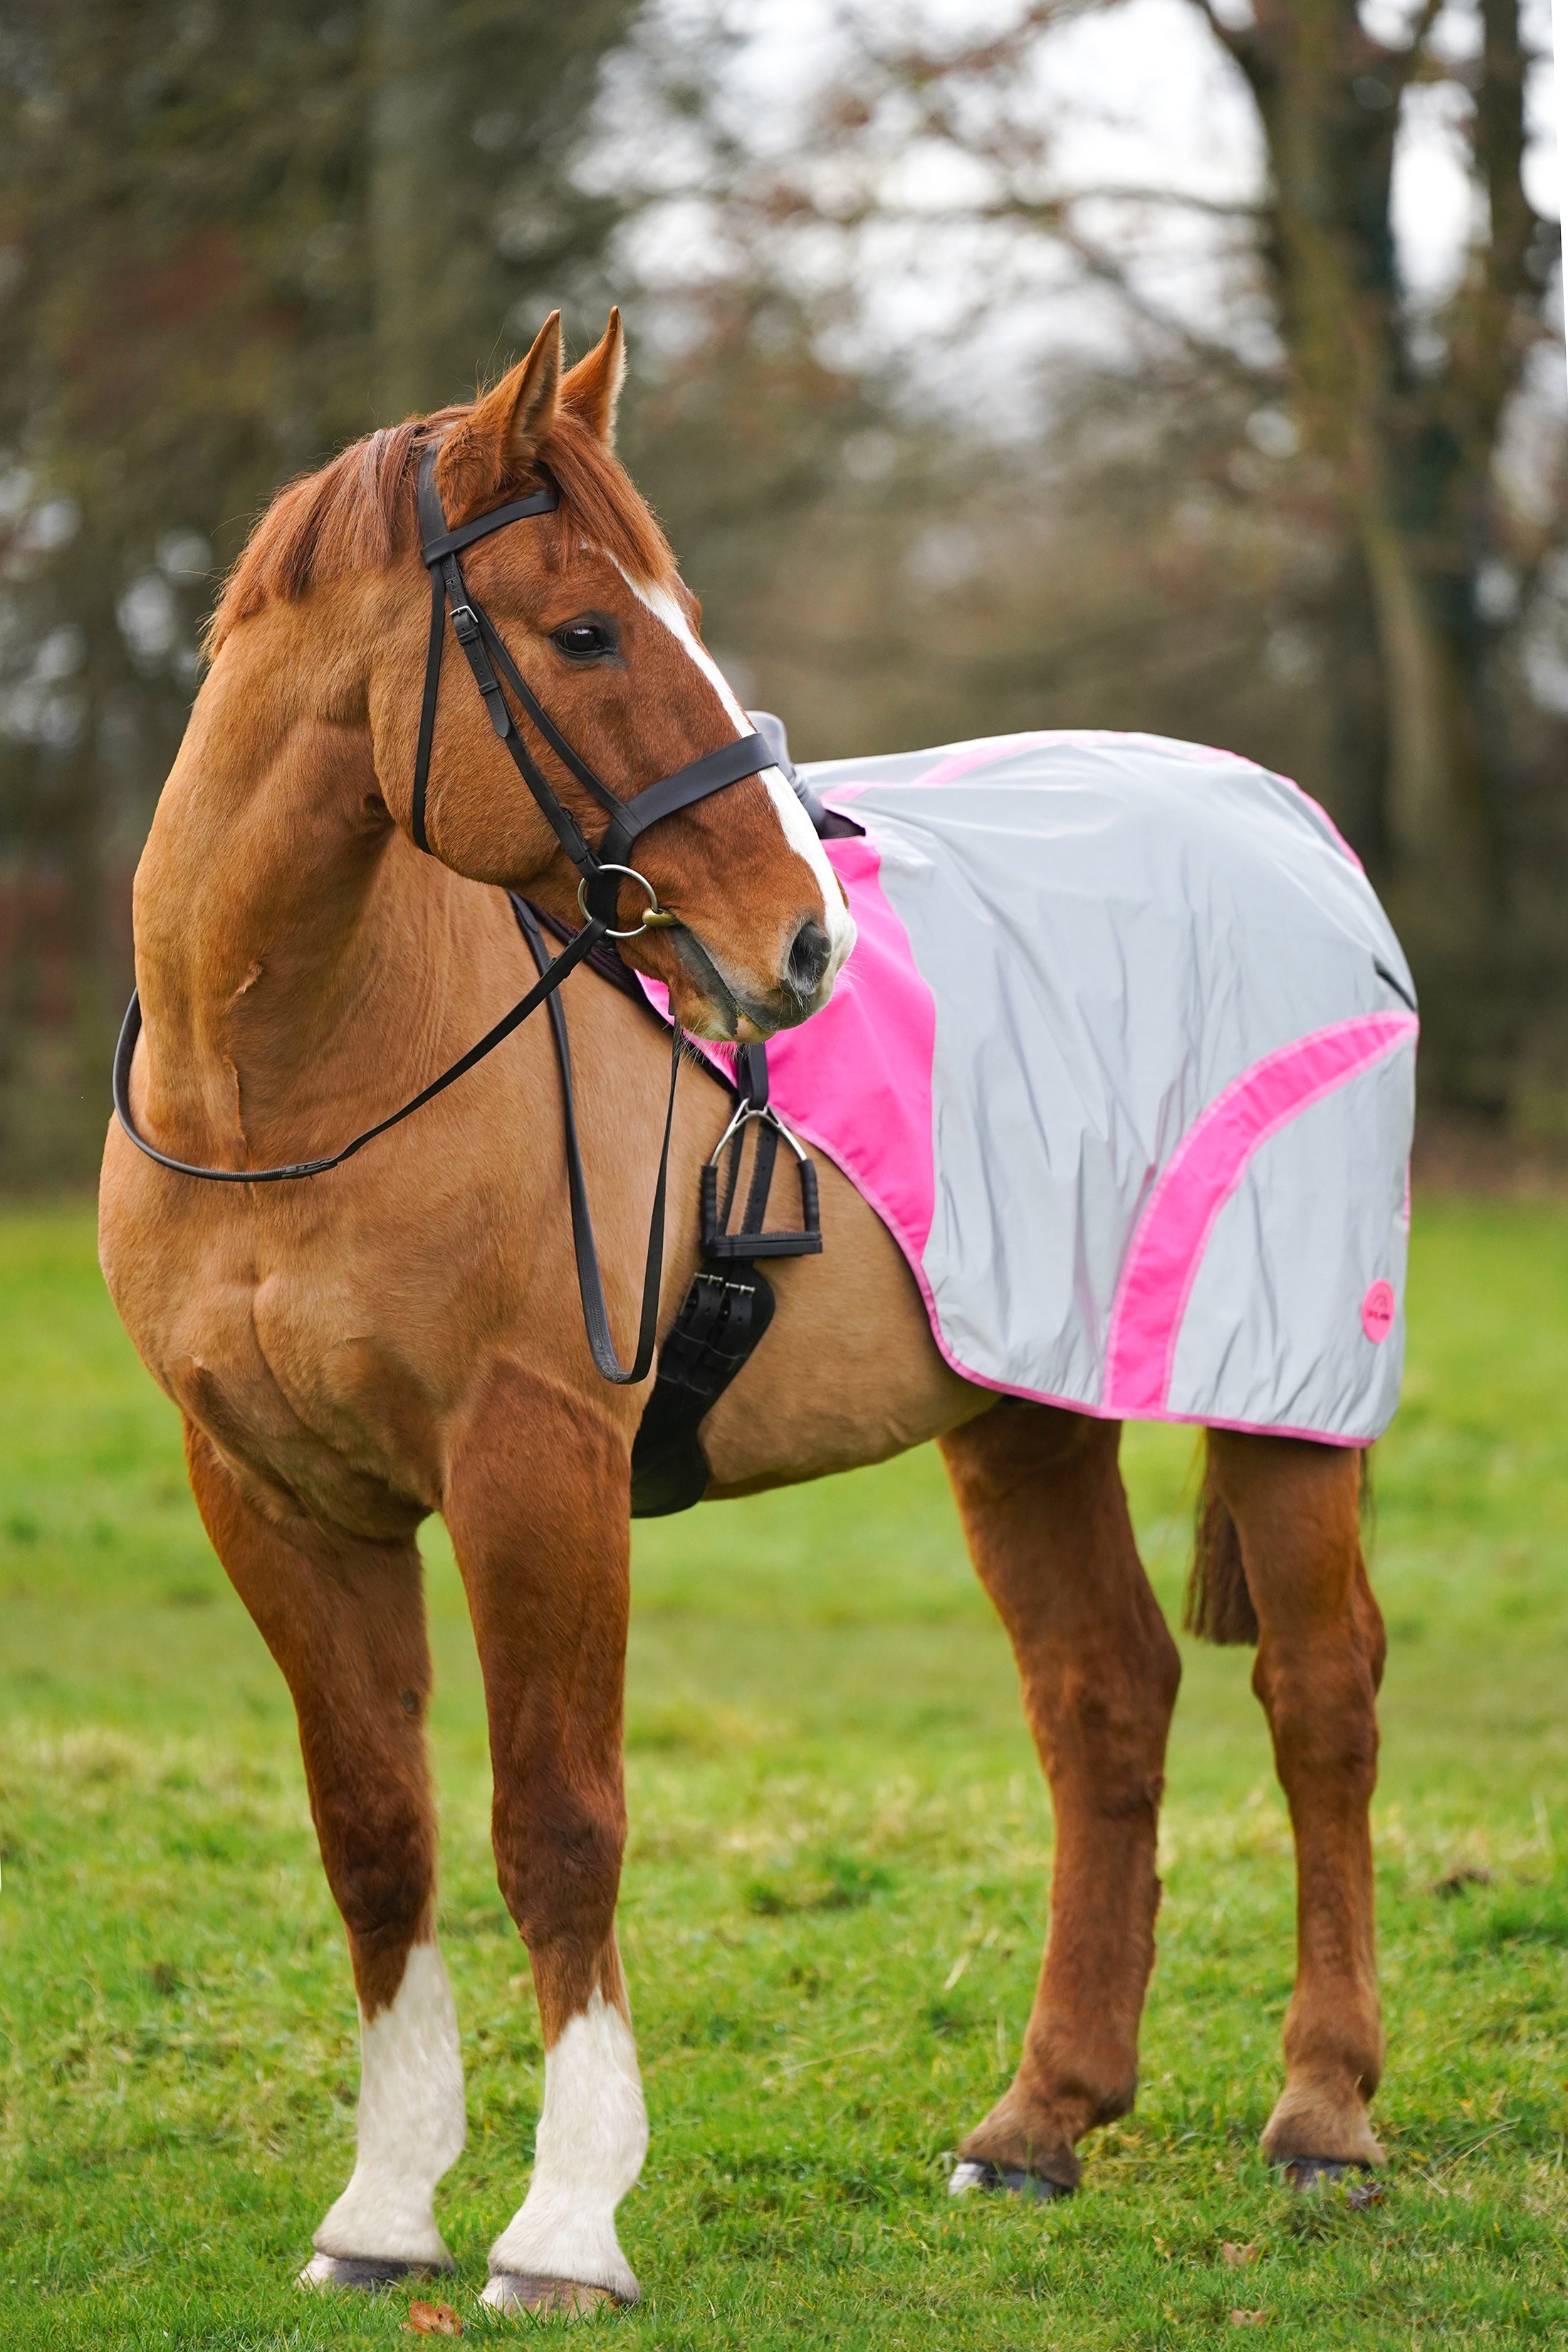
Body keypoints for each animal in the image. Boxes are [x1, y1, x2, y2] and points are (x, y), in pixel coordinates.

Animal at [98, 313, 1382, 2314]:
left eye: (670, 612)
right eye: (581, 631)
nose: (803, 943)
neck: (294, 1077)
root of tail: (1286, 823)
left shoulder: (536, 1462)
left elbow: (556, 1823)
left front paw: (561, 2224)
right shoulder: (275, 1494)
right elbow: (374, 1835)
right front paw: (381, 2214)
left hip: (1282, 1395)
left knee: (1320, 1695)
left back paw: (1322, 2113)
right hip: (1025, 1406)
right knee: (1106, 1697)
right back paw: (1037, 2122)